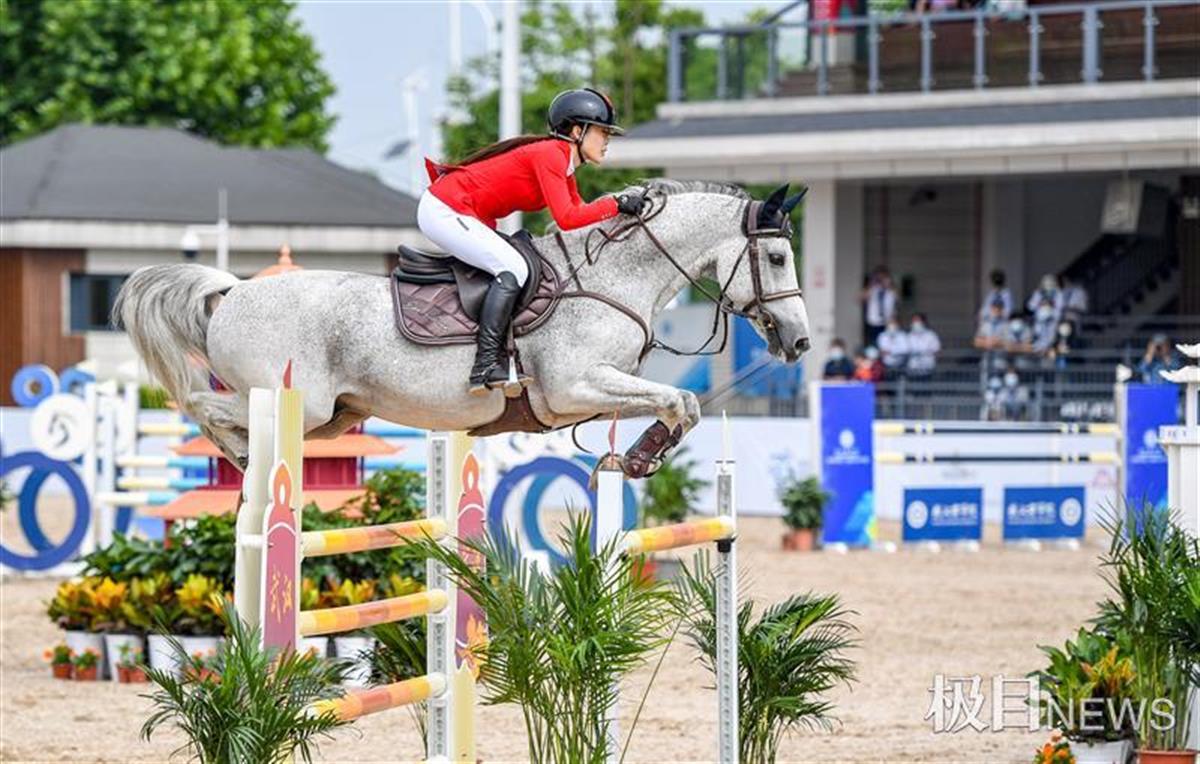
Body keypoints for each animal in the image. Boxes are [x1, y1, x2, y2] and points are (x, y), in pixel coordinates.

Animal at [117, 179, 811, 477]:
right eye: (778, 257)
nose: (800, 341)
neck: (610, 278)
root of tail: (232, 290)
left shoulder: (591, 392)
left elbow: (680, 403)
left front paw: (638, 457)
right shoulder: (573, 388)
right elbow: (681, 398)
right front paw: (642, 457)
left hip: (335, 416)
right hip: (296, 401)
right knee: (202, 402)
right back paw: (238, 454)